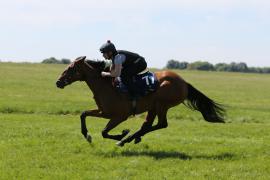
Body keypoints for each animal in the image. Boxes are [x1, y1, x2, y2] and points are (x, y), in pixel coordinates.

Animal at [56, 56, 225, 146]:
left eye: (70, 69)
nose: (58, 82)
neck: (105, 85)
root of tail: (184, 83)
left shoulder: (120, 116)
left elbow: (104, 132)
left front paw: (122, 134)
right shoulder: (104, 112)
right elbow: (83, 114)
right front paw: (87, 135)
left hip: (162, 104)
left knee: (161, 124)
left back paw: (126, 139)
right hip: (153, 107)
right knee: (148, 125)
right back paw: (133, 138)